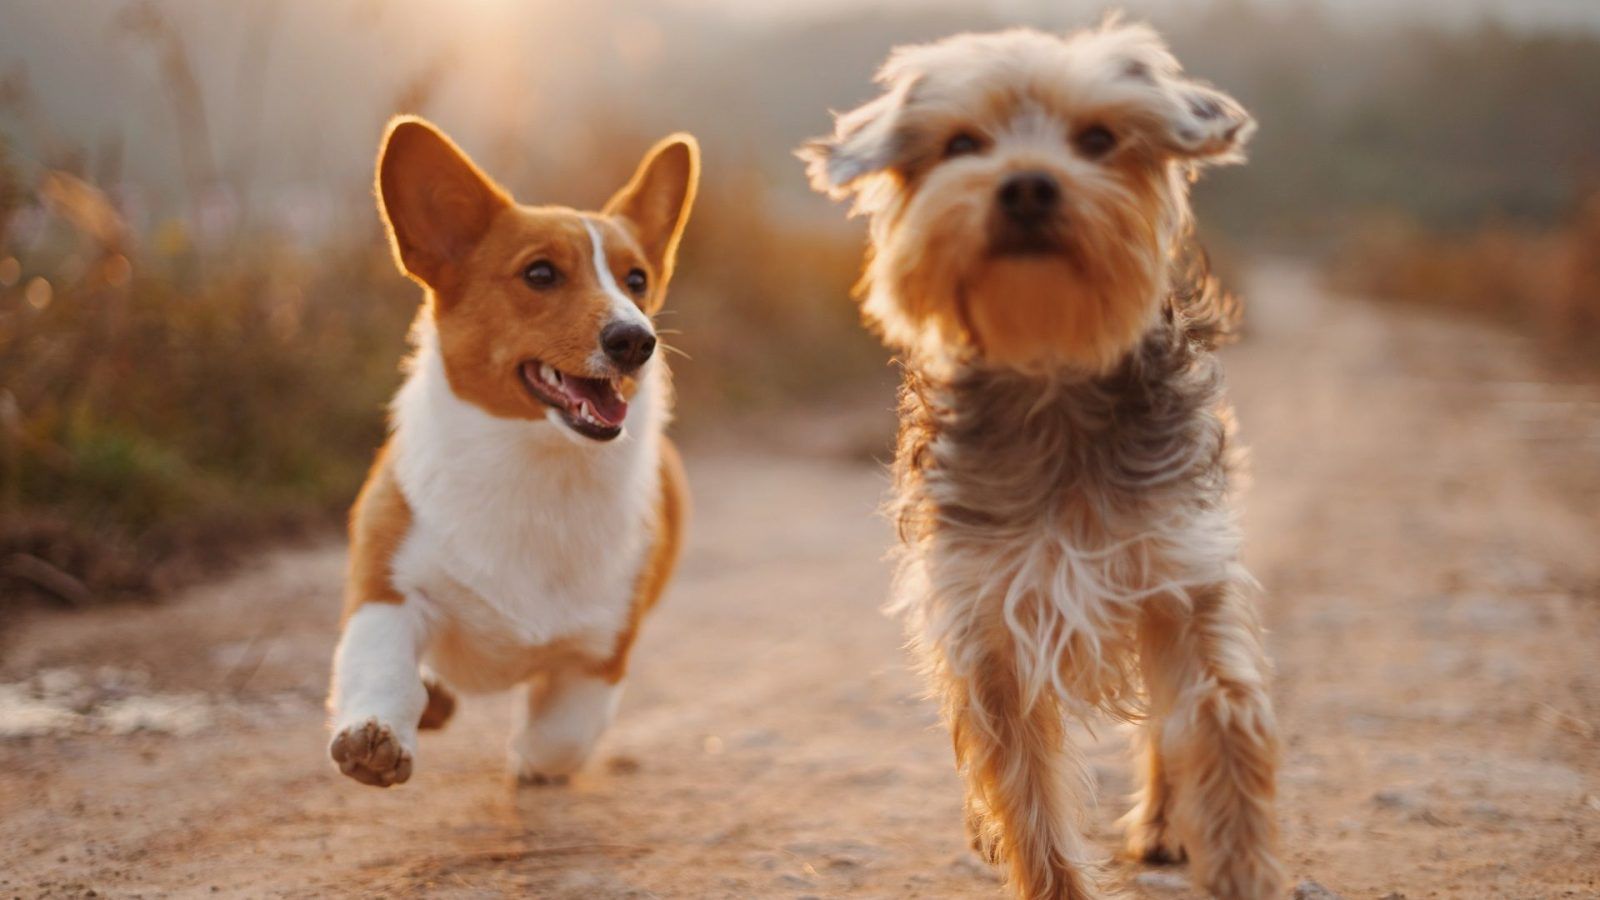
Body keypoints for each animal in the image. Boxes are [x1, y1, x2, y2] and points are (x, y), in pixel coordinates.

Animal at [328, 117, 697, 784]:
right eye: (540, 274)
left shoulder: (600, 653)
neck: (535, 463)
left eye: (636, 281)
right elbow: (381, 666)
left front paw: (529, 759)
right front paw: (375, 735)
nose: (637, 340)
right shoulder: (388, 589)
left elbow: (560, 737)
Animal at [800, 17, 1286, 890]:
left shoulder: (1180, 574)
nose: (1027, 186)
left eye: (1098, 139)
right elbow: (1023, 788)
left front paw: (1239, 867)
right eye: (962, 143)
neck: (1051, 371)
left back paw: (1162, 823)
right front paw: (1044, 870)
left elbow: (1222, 716)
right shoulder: (986, 616)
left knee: (1163, 727)